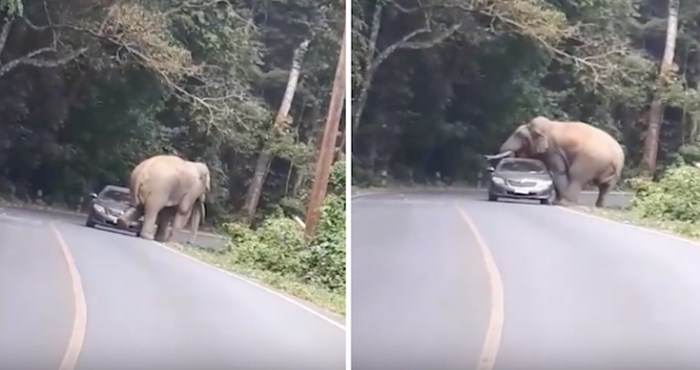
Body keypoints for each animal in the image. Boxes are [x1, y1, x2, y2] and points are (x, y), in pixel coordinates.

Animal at [484, 115, 628, 208]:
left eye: (521, 136)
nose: (486, 157)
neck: (548, 126)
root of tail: (616, 156)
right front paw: (555, 202)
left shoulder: (553, 150)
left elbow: (558, 172)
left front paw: (557, 203)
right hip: (612, 171)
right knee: (606, 187)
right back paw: (599, 207)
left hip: (590, 160)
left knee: (576, 176)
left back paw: (568, 203)